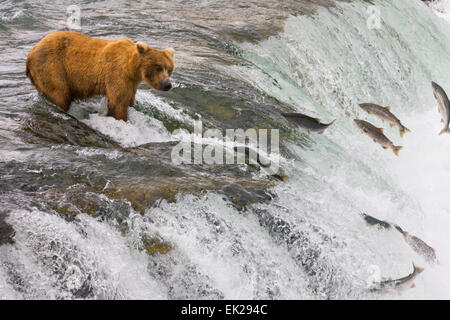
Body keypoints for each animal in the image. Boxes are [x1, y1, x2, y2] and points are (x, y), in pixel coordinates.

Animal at [25, 31, 175, 121]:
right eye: (158, 67)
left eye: (169, 69)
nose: (168, 85)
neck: (131, 68)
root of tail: (30, 54)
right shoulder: (117, 74)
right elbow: (118, 103)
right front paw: (121, 119)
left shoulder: (132, 83)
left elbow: (129, 100)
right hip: (52, 66)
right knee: (59, 93)